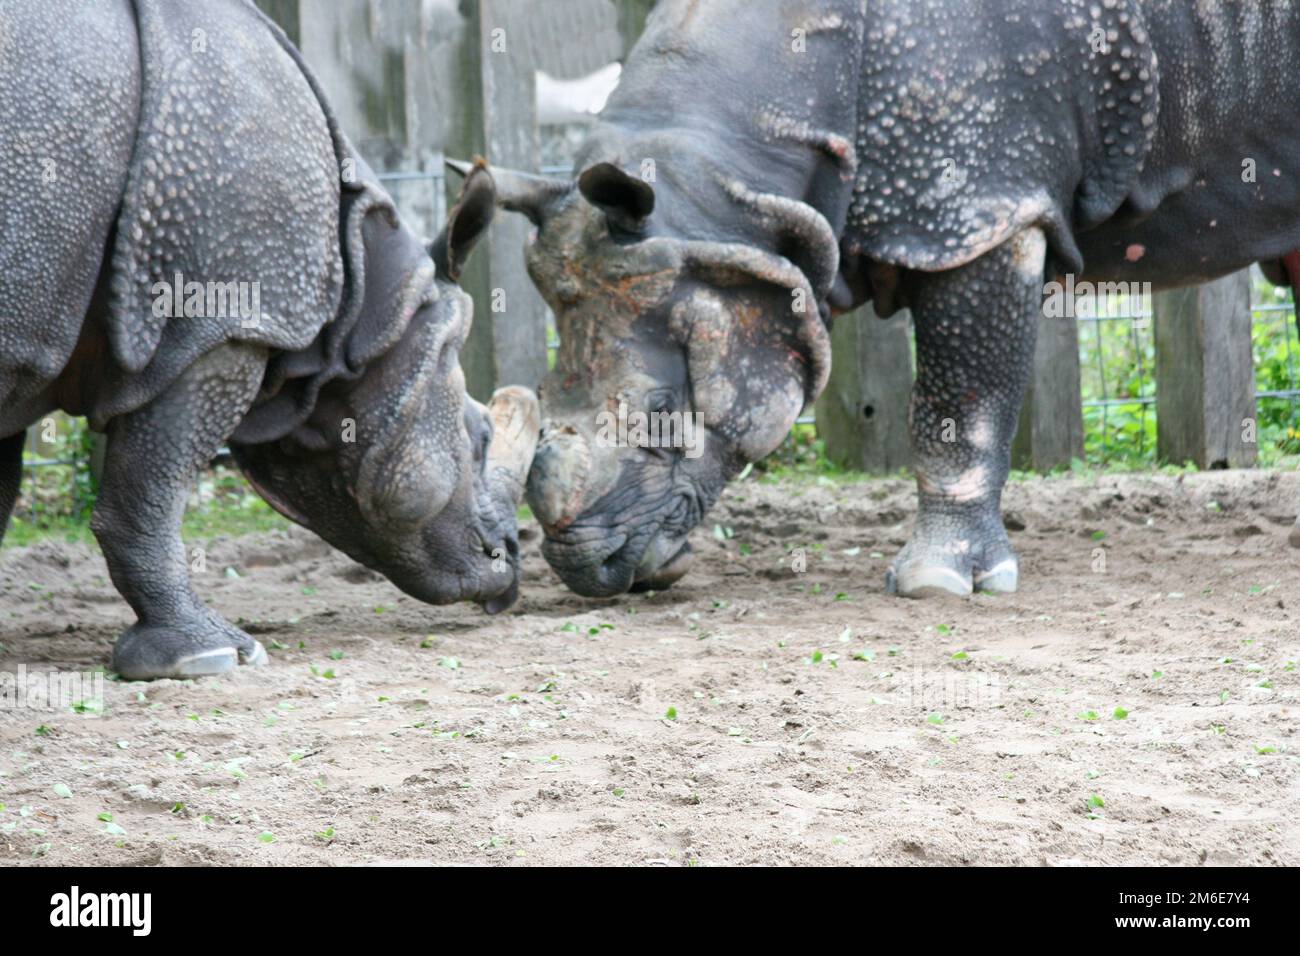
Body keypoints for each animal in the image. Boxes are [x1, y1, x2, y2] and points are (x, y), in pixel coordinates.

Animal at [1, 0, 538, 681]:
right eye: (481, 435)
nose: (509, 566)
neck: (366, 312)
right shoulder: (219, 325)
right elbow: (151, 489)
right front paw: (210, 655)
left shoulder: (26, 341)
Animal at [475, 0, 1300, 598]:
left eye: (657, 413)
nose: (586, 570)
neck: (735, 185)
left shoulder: (982, 208)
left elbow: (958, 406)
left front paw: (938, 582)